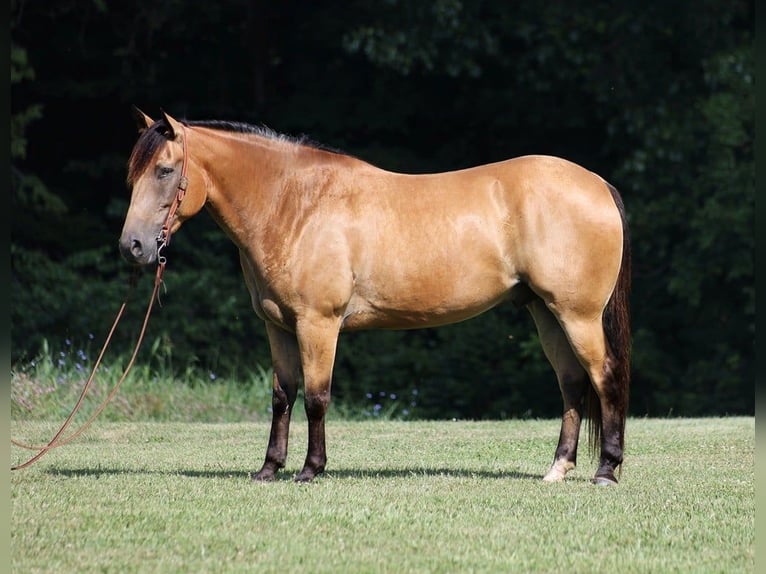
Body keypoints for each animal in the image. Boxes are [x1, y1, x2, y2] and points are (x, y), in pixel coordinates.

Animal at [120, 108, 632, 486]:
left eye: (165, 170)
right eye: (133, 175)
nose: (133, 247)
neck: (296, 204)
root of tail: (597, 183)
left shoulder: (318, 323)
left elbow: (317, 397)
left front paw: (310, 470)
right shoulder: (278, 326)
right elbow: (283, 396)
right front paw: (268, 469)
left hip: (578, 315)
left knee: (604, 376)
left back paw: (606, 470)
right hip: (546, 313)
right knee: (571, 383)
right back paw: (558, 469)